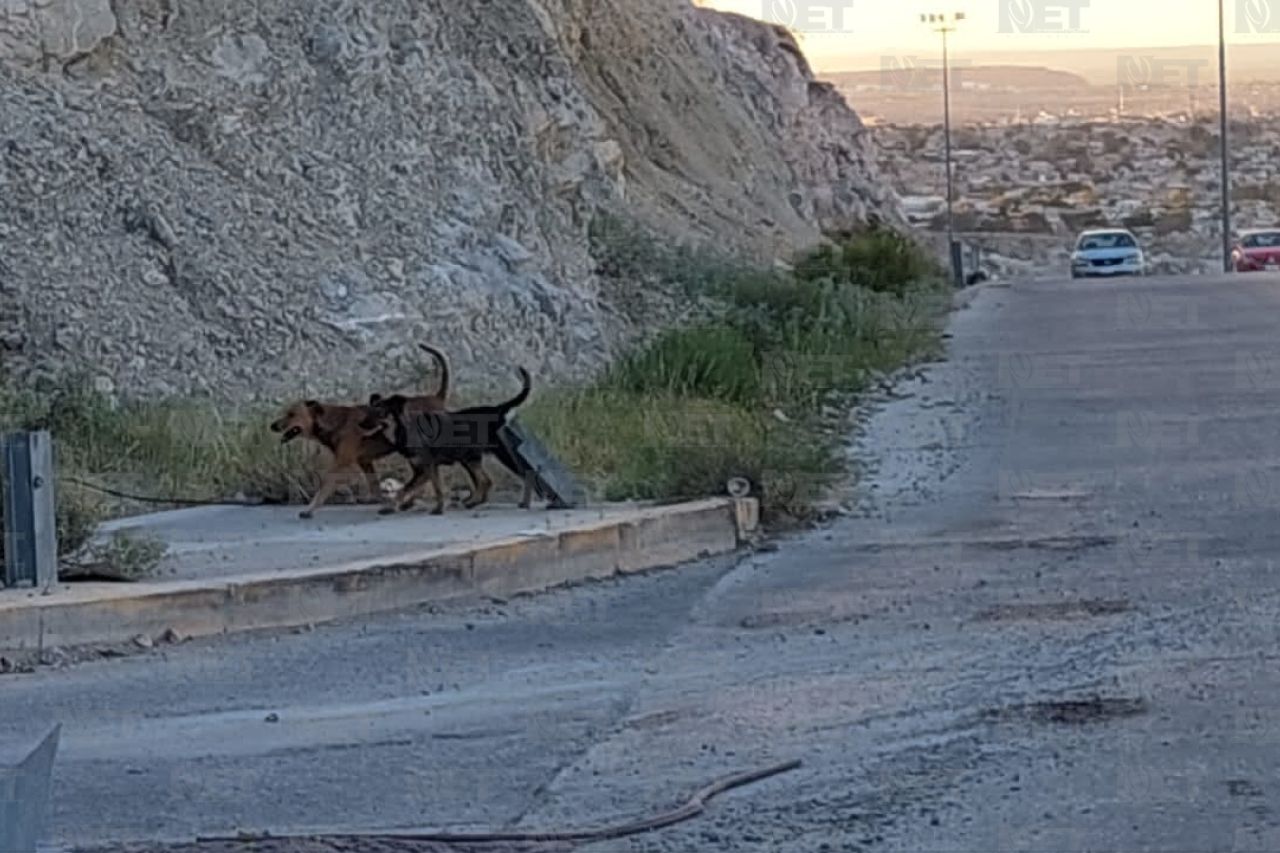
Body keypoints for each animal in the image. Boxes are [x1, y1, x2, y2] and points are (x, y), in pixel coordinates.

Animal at [270, 340, 450, 514]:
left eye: (292, 414)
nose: (273, 426)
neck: (333, 421)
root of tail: (437, 398)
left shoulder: (342, 464)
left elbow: (324, 487)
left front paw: (309, 509)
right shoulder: (365, 462)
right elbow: (375, 487)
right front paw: (385, 502)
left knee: (425, 475)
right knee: (424, 476)